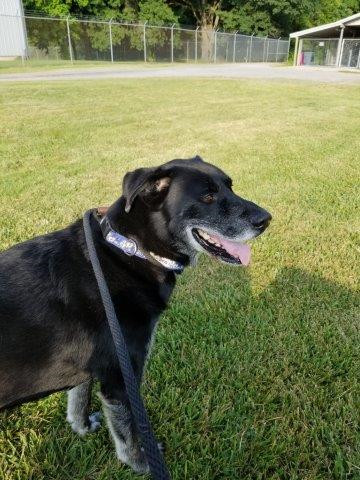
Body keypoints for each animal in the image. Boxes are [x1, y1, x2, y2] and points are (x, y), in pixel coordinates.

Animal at [0, 157, 270, 472]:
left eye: (230, 186)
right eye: (207, 197)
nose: (266, 219)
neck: (127, 250)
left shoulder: (90, 366)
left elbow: (78, 397)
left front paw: (82, 428)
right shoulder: (121, 378)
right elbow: (128, 432)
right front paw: (144, 463)